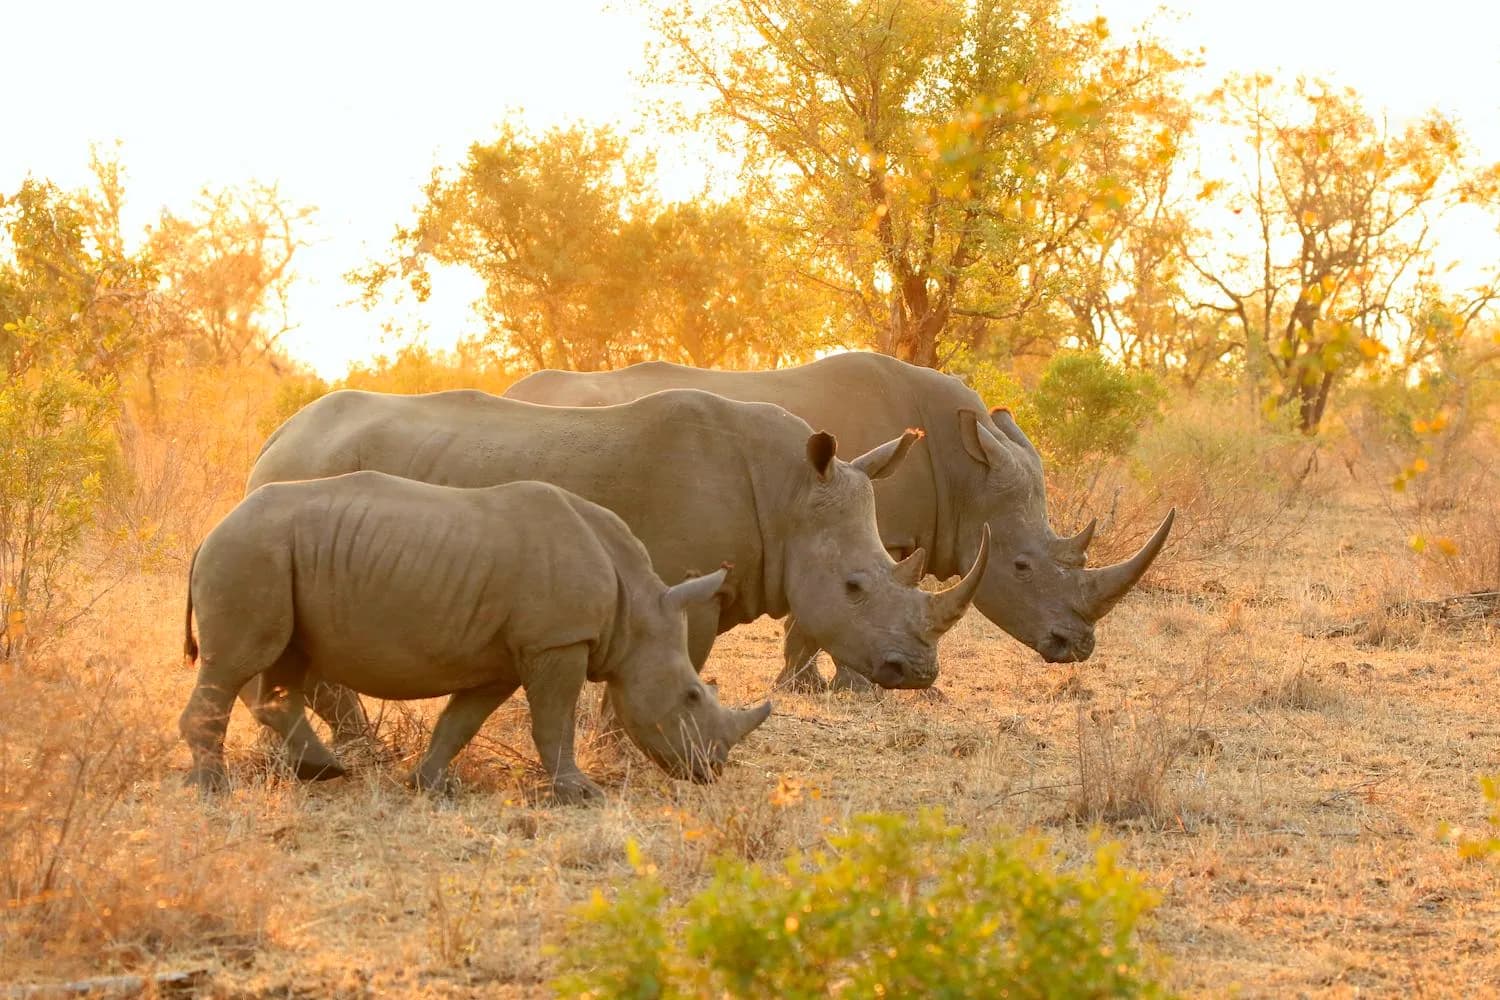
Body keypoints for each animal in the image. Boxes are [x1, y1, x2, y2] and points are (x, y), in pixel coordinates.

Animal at [180, 473, 773, 802]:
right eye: (692, 696)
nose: (713, 770)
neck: (636, 611)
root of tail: (212, 529)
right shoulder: (557, 642)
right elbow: (553, 722)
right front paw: (581, 794)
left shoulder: (505, 658)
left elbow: (461, 721)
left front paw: (429, 785)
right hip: (252, 550)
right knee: (237, 664)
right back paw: (215, 790)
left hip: (273, 554)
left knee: (286, 664)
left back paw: (322, 772)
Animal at [244, 387, 989, 743]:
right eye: (855, 586)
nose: (919, 673)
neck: (787, 494)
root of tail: (275, 437)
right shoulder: (685, 590)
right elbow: (669, 666)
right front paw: (627, 744)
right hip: (307, 478)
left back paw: (357, 747)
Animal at [506, 352, 1174, 690]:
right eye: (1022, 566)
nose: (1077, 648)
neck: (965, 473)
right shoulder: (870, 528)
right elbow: (830, 612)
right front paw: (837, 688)